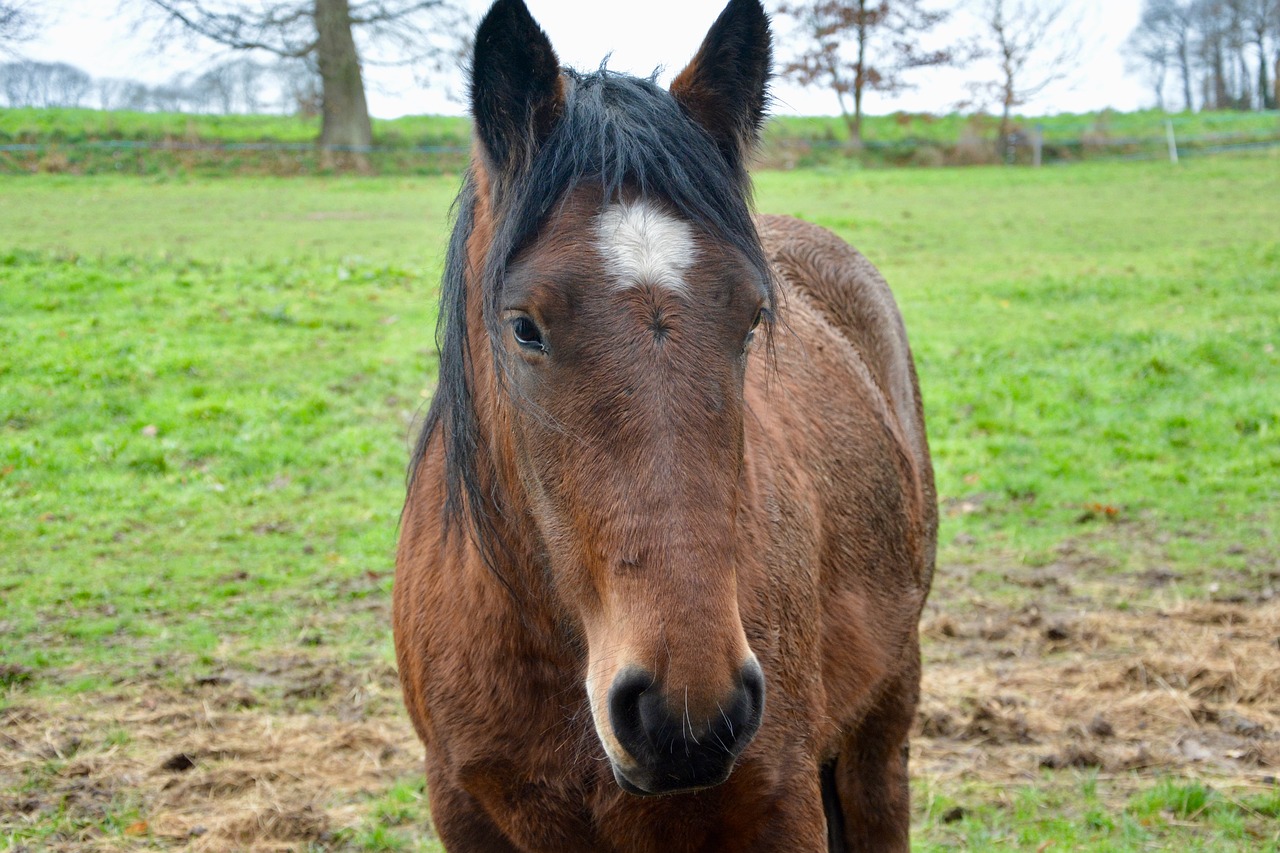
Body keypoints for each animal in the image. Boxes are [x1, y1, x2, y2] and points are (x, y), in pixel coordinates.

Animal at [391, 1, 942, 845]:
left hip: (881, 731)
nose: (685, 712)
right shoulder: (461, 807)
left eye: (751, 318)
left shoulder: (783, 804)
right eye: (524, 326)